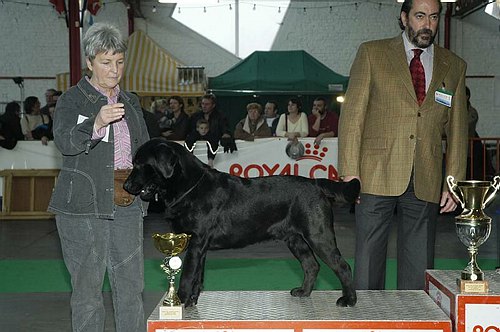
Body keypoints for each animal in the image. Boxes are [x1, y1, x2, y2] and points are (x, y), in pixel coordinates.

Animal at [124, 139, 360, 308]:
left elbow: (187, 276)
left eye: (140, 164)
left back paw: (349, 300)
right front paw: (191, 303)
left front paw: (180, 302)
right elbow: (198, 277)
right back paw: (303, 292)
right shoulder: (200, 247)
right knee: (311, 265)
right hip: (295, 239)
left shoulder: (195, 241)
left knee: (342, 266)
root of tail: (316, 183)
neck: (190, 187)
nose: (125, 185)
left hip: (318, 235)